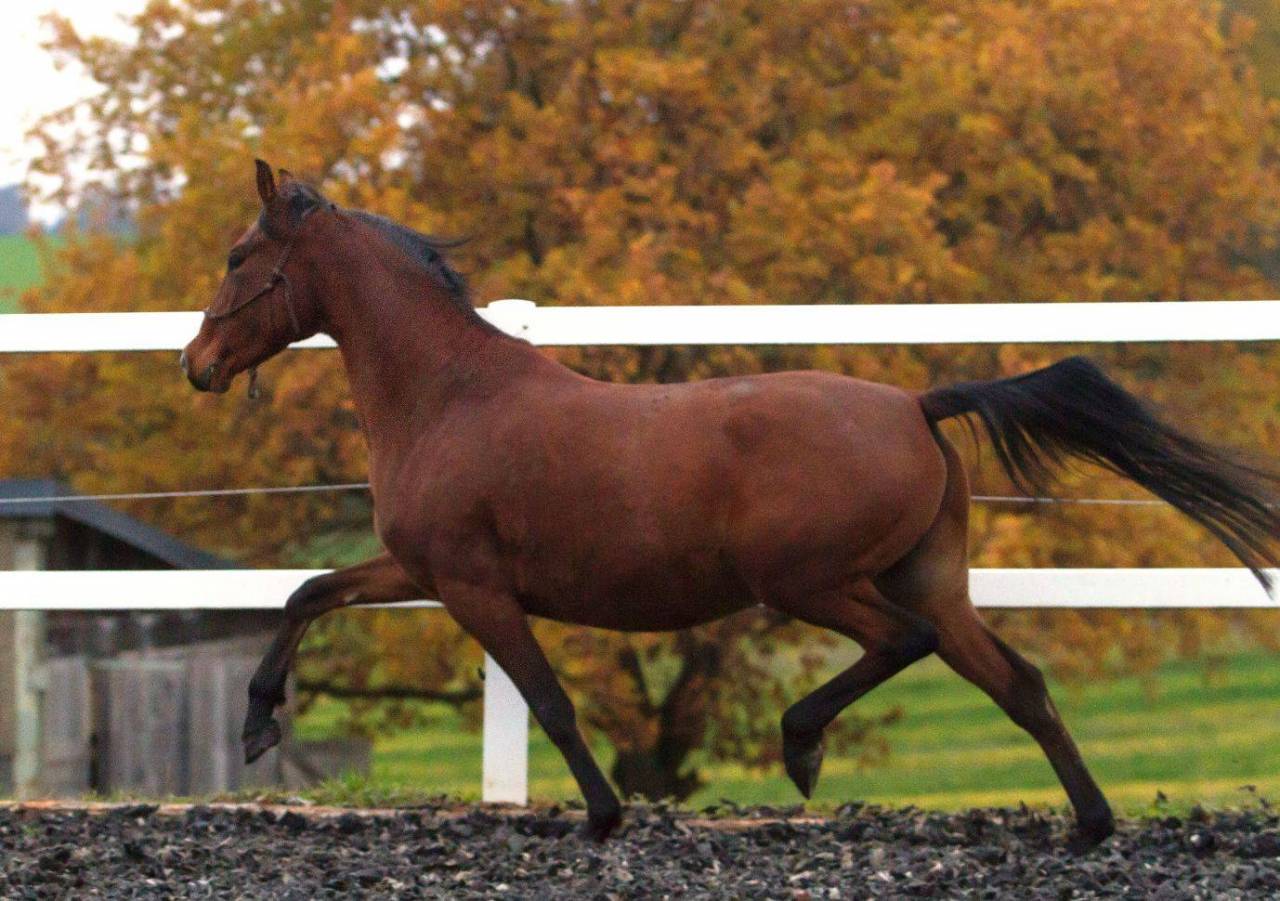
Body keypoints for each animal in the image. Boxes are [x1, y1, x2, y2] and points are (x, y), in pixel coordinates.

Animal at [181, 160, 1280, 851]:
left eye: (236, 257)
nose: (196, 364)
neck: (448, 394)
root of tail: (914, 404)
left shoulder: (471, 584)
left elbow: (548, 698)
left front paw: (603, 815)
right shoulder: (418, 568)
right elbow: (311, 593)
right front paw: (257, 723)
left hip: (808, 581)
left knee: (908, 644)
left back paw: (801, 743)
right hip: (926, 575)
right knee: (1018, 681)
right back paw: (1088, 825)